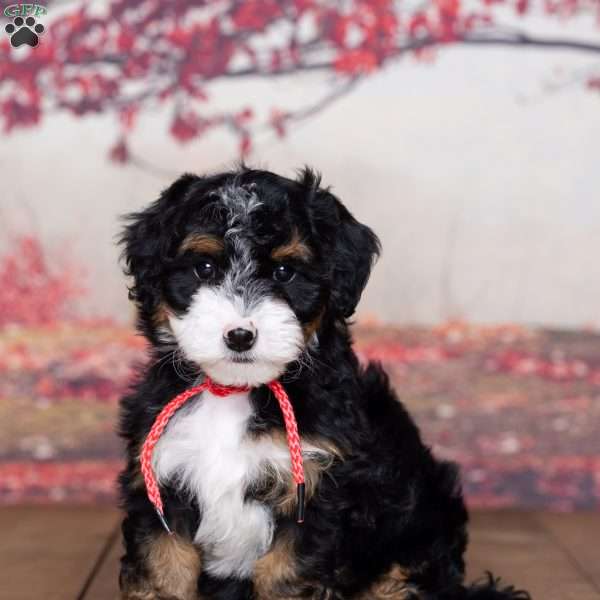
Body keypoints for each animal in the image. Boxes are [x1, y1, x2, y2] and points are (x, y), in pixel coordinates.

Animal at [118, 168, 528, 600]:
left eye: (284, 273)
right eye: (205, 269)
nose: (240, 336)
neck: (235, 391)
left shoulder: (319, 491)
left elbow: (286, 575)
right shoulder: (160, 476)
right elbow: (164, 568)